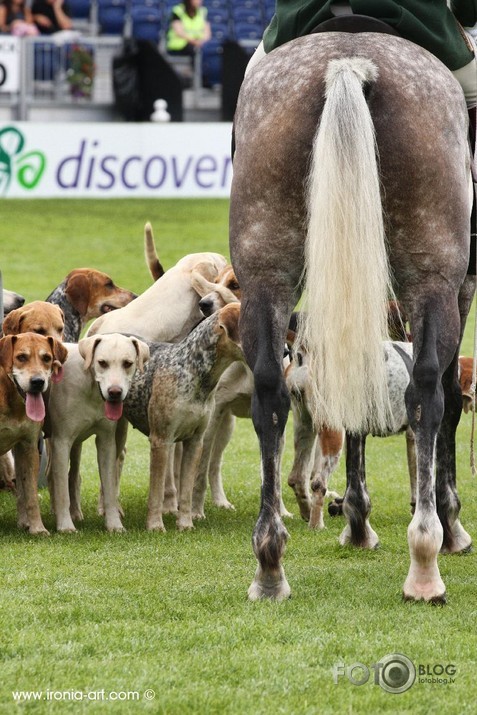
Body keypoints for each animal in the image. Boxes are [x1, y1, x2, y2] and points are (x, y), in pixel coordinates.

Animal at [229, 33, 474, 604]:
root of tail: (348, 59)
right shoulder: (461, 289)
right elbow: (450, 402)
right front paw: (450, 523)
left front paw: (357, 521)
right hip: (432, 276)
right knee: (427, 394)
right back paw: (425, 560)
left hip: (264, 272)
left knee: (270, 394)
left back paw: (269, 564)